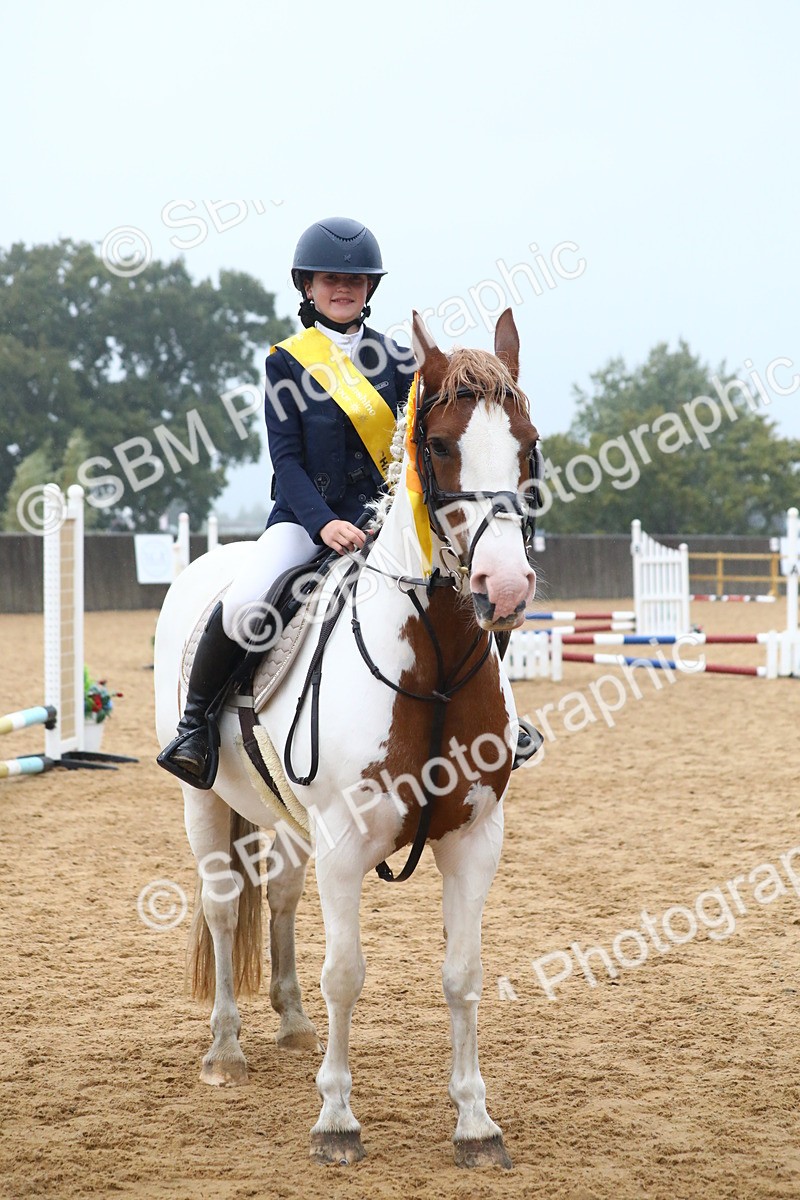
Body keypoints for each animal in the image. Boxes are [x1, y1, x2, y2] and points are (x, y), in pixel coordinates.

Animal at [153, 308, 540, 1168]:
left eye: (528, 443)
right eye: (441, 445)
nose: (503, 588)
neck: (432, 662)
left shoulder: (476, 839)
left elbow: (462, 973)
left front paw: (476, 1122)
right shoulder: (343, 841)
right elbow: (347, 973)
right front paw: (336, 1120)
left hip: (291, 822)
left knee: (281, 898)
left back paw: (293, 1024)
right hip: (204, 805)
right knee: (224, 907)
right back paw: (225, 1049)